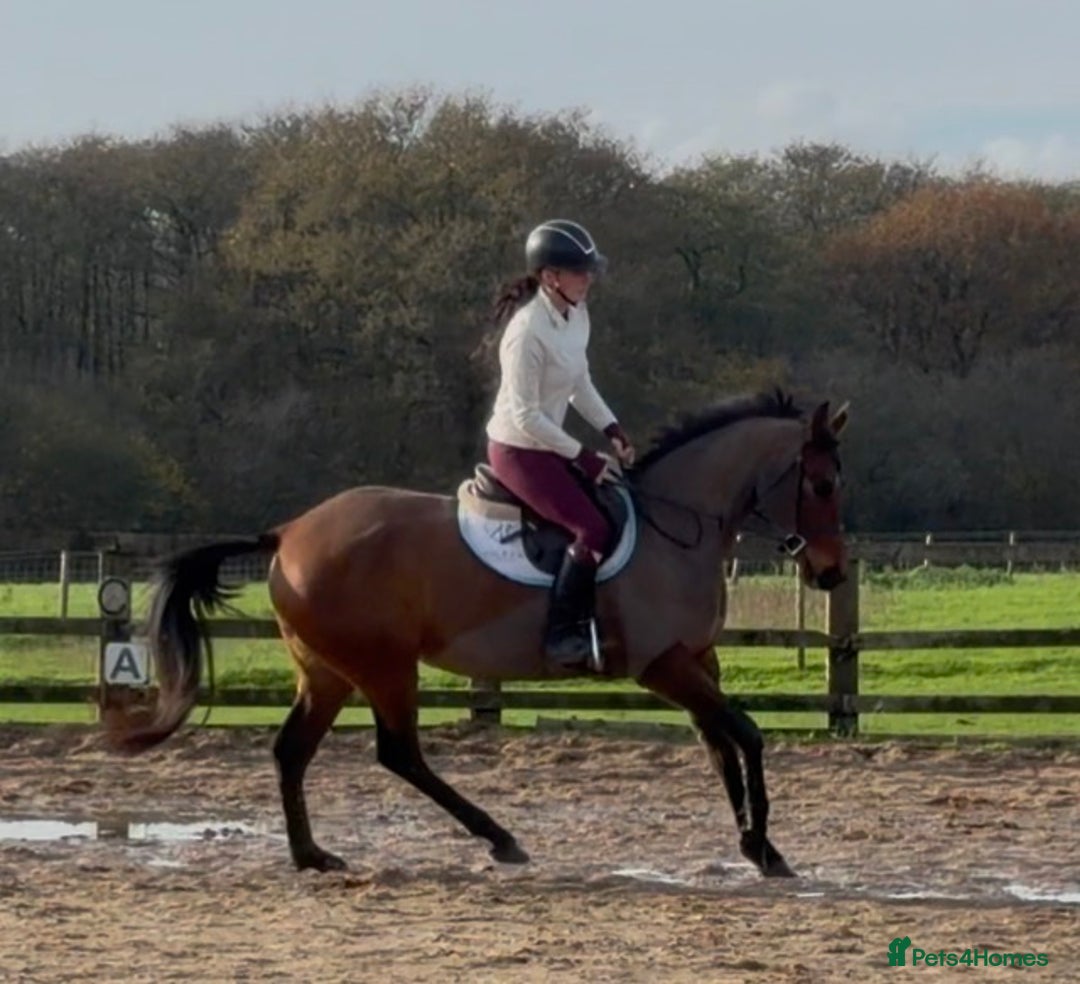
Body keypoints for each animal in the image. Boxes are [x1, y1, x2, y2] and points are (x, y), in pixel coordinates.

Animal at [105, 389, 849, 879]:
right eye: (819, 483)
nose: (832, 573)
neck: (678, 525)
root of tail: (287, 532)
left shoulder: (697, 659)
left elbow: (720, 745)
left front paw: (756, 844)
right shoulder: (662, 664)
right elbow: (746, 734)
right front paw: (766, 847)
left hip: (328, 672)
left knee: (293, 750)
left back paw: (310, 855)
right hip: (383, 668)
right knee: (399, 754)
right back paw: (500, 838)